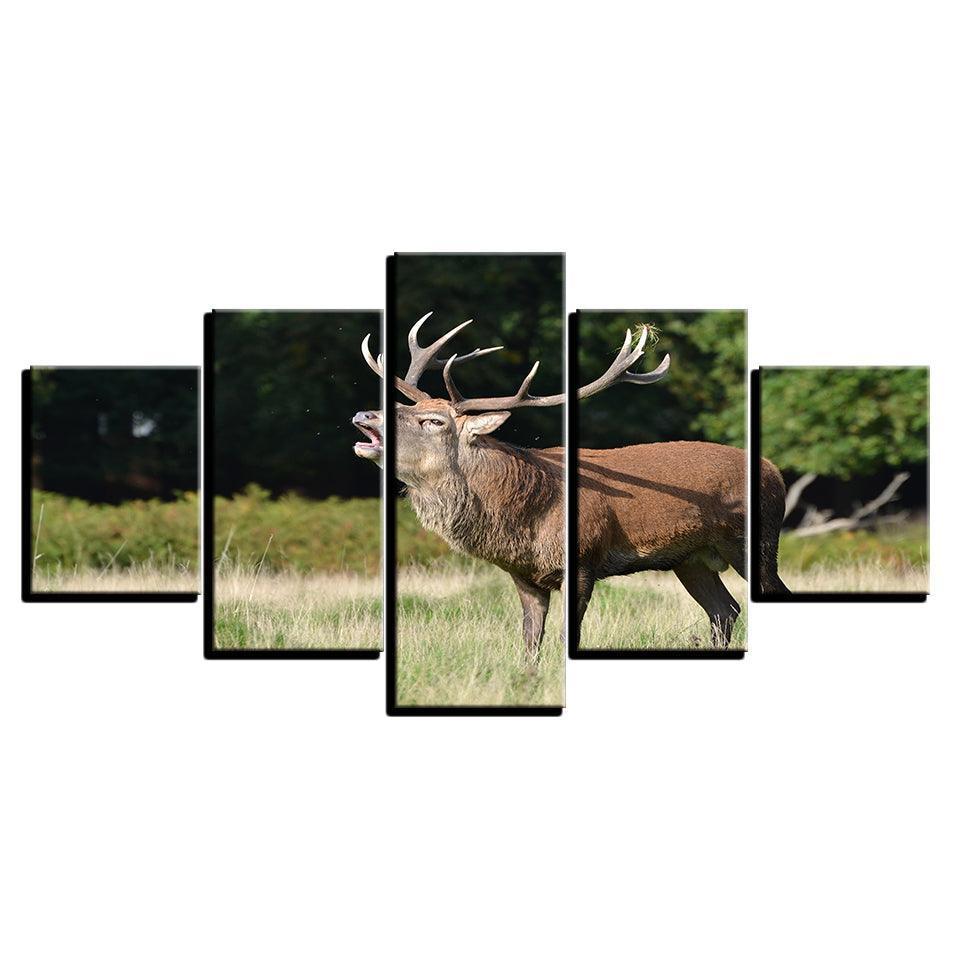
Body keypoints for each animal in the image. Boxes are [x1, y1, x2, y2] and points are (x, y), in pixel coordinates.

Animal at [352, 313, 790, 654]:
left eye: (433, 421)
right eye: (405, 406)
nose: (364, 414)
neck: (527, 519)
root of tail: (775, 471)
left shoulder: (583, 559)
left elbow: (568, 637)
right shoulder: (524, 575)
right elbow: (530, 641)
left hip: (755, 541)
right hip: (691, 558)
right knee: (724, 611)